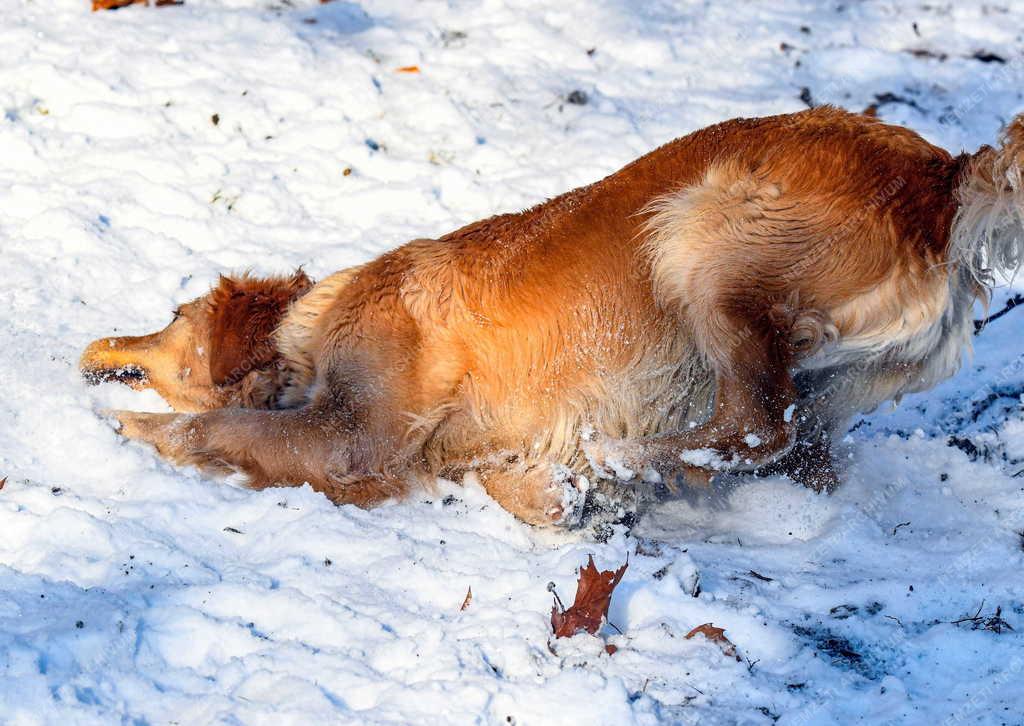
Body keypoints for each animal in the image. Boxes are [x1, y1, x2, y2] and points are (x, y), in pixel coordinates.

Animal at [81, 105, 1024, 528]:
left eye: (171, 313)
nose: (93, 344)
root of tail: (945, 176)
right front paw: (552, 492)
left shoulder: (354, 437)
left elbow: (217, 428)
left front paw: (125, 426)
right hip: (829, 378)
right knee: (797, 448)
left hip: (698, 230)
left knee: (756, 424)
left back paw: (629, 460)